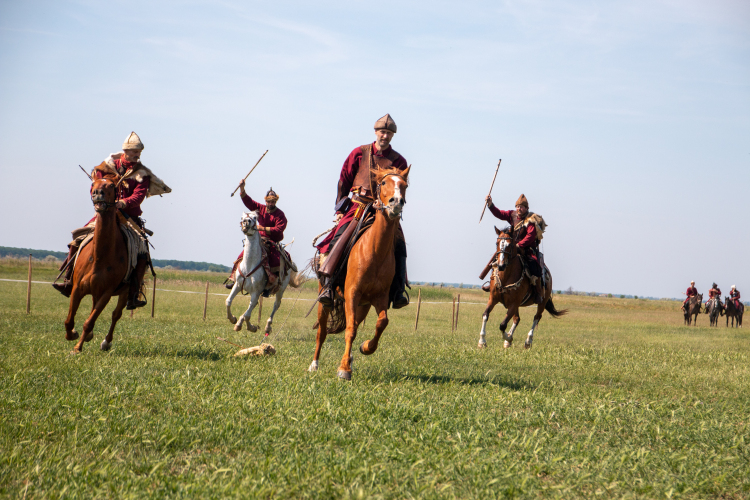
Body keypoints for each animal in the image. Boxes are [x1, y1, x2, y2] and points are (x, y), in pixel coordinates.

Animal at [64, 174, 144, 354]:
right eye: (94, 183)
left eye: (112, 186)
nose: (97, 193)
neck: (99, 257)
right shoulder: (77, 288)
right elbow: (69, 319)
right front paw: (72, 335)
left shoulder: (107, 293)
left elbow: (89, 321)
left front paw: (77, 348)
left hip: (124, 292)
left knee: (115, 315)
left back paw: (106, 342)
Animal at [306, 166, 412, 380]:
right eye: (384, 183)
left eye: (404, 185)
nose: (396, 203)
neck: (374, 251)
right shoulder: (352, 293)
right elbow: (350, 331)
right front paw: (344, 369)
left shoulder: (379, 298)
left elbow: (381, 323)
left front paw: (366, 348)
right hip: (326, 300)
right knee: (322, 331)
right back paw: (314, 364)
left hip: (363, 305)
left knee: (355, 323)